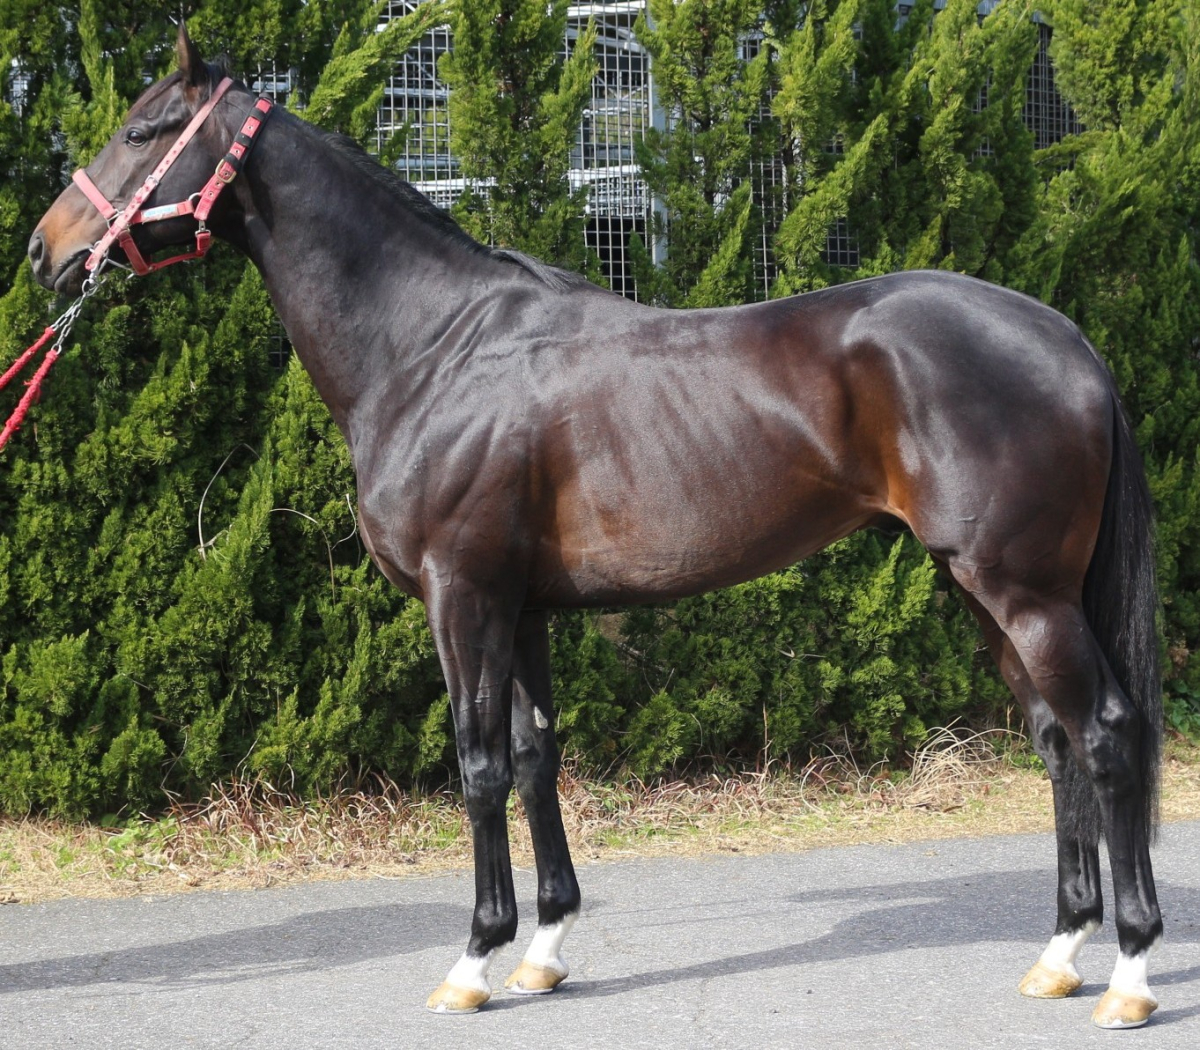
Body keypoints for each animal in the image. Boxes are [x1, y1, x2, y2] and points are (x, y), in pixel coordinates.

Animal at [28, 26, 1163, 1029]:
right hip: (985, 593)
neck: (431, 346)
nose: (47, 251)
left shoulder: (463, 596)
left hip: (1025, 594)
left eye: (143, 129)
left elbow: (480, 765)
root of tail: (1068, 338)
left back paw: (1130, 975)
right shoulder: (522, 606)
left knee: (1108, 734)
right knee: (1057, 739)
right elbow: (536, 757)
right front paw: (543, 949)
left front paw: (474, 961)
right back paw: (1061, 955)